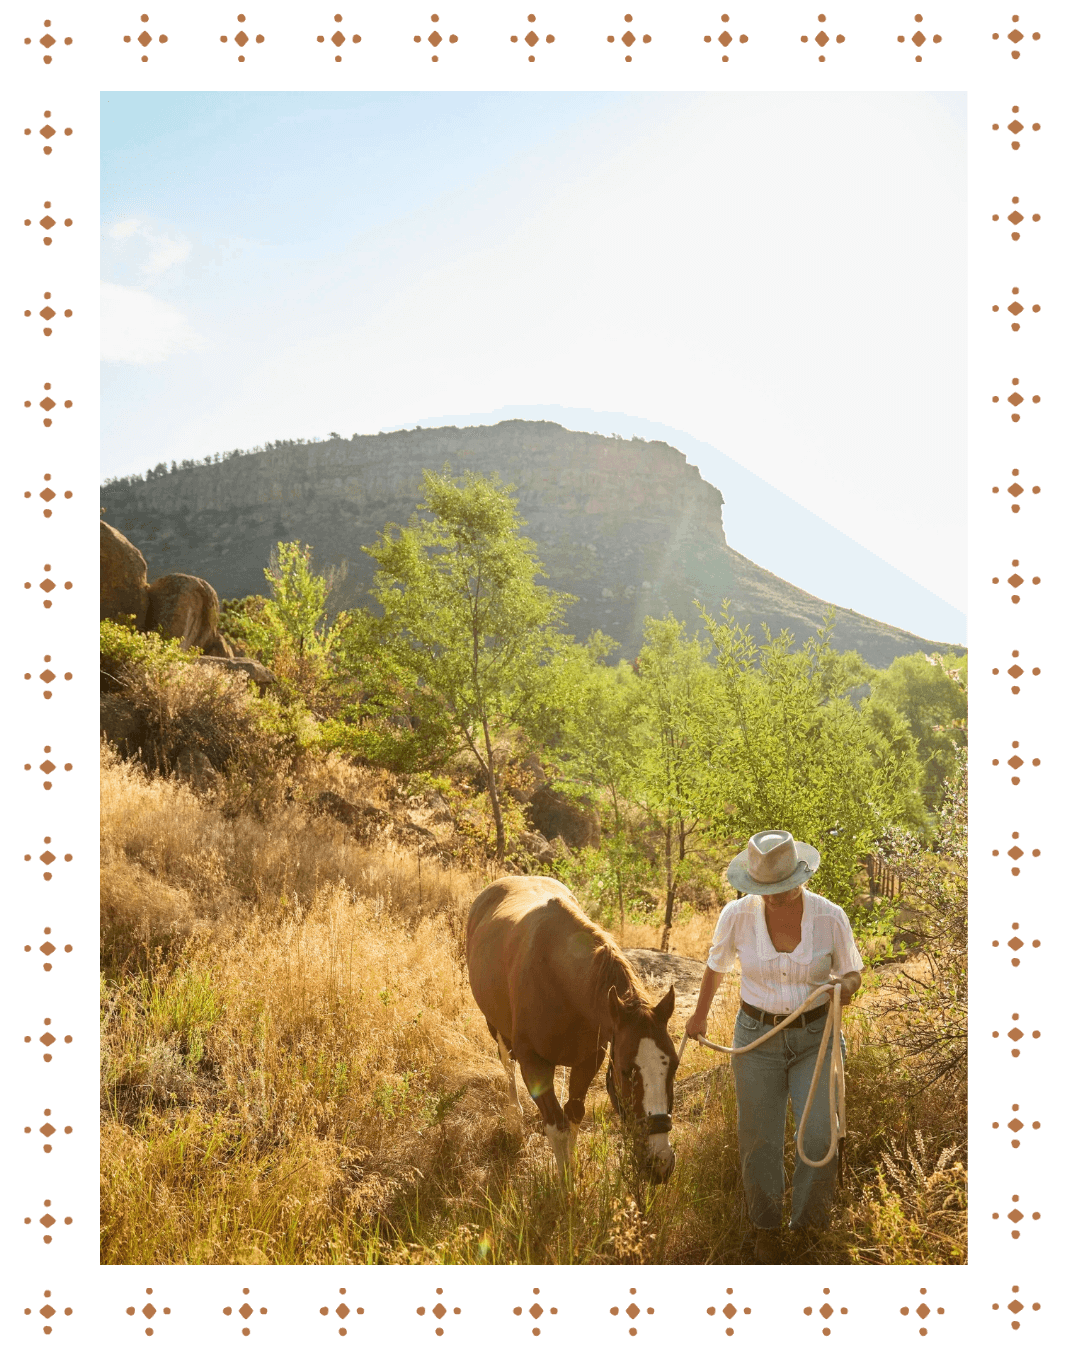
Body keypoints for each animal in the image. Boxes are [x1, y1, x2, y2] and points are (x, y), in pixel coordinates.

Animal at [466, 874, 678, 1186]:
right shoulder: (534, 1064)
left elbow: (574, 1114)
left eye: (674, 1066)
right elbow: (556, 1124)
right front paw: (565, 1186)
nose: (660, 1163)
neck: (560, 981)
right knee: (506, 1063)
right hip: (495, 1026)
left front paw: (573, 1168)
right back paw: (515, 1116)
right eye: (626, 1070)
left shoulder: (589, 1060)